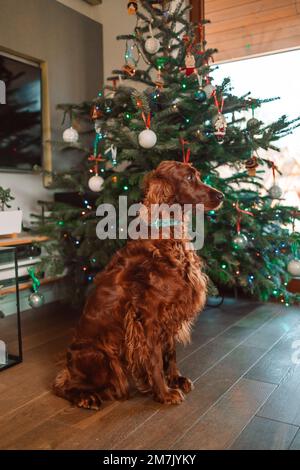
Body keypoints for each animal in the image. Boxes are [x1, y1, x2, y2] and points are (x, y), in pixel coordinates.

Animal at [53, 161, 223, 408]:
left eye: (198, 175)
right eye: (189, 178)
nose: (221, 196)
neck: (167, 241)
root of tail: (69, 363)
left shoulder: (170, 314)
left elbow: (170, 353)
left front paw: (176, 379)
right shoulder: (148, 317)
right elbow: (155, 359)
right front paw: (164, 393)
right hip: (101, 357)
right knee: (63, 385)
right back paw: (86, 398)